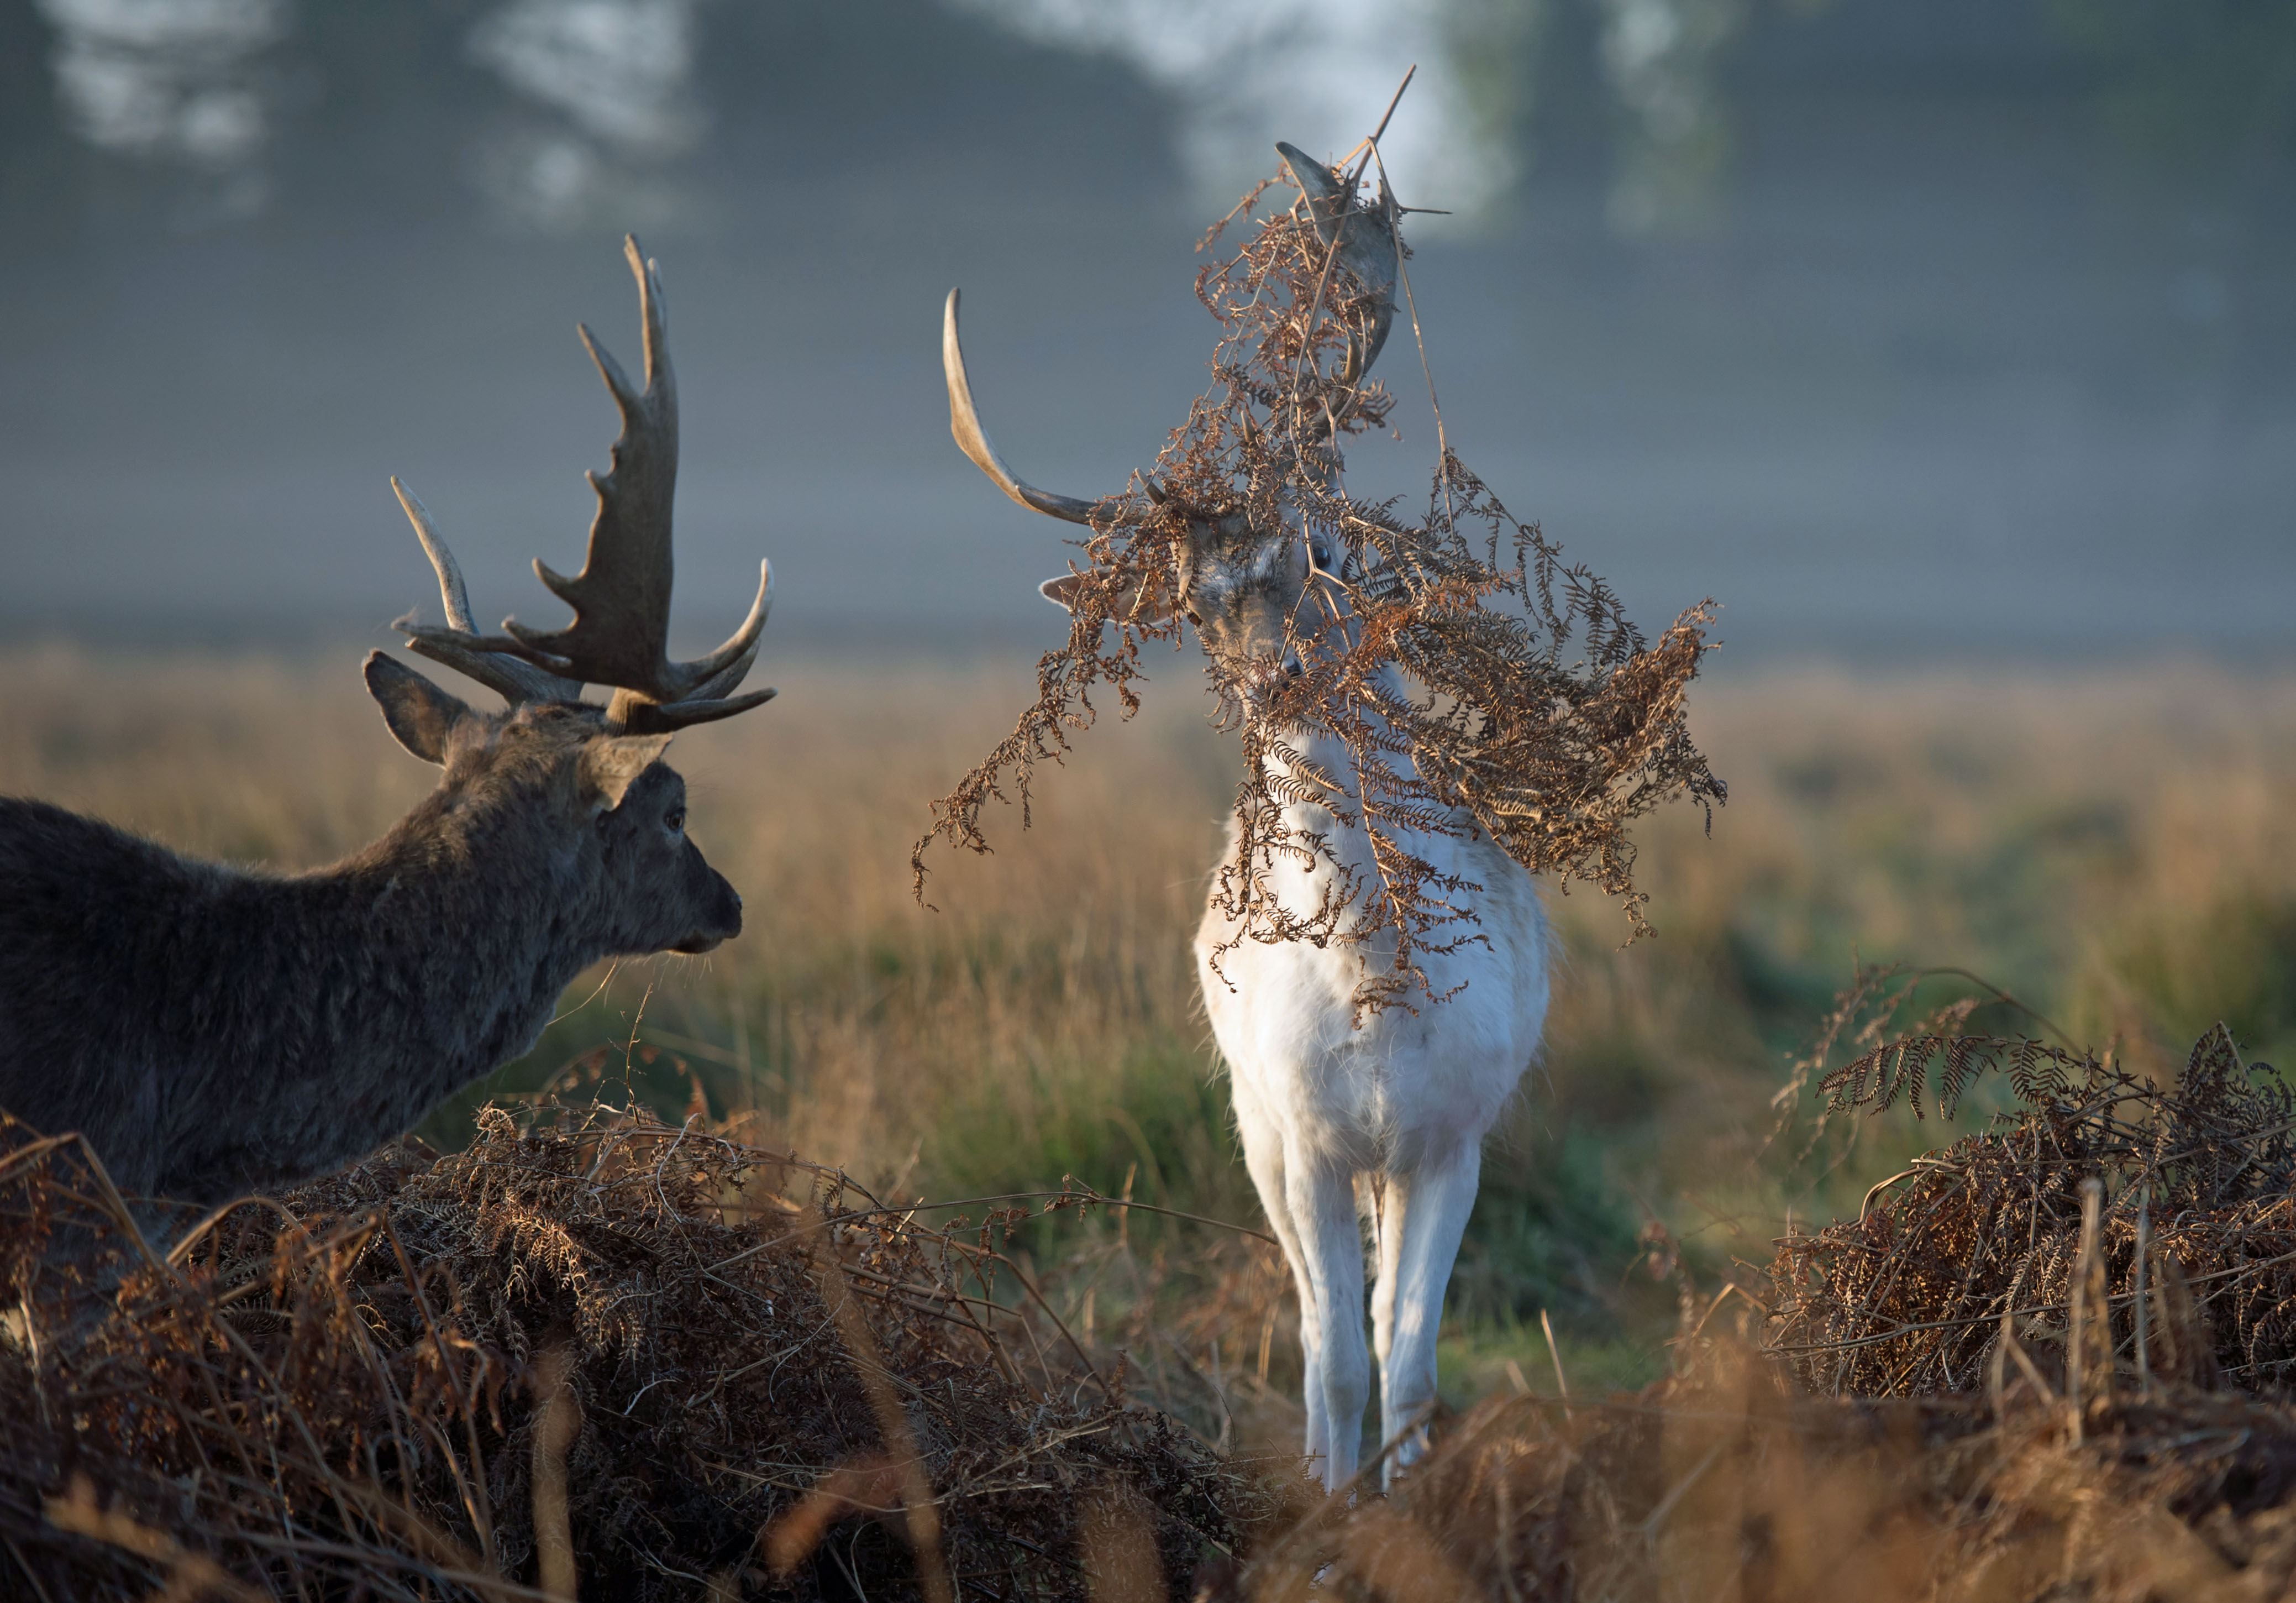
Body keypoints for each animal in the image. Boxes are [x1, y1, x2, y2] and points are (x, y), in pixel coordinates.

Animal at [939, 146, 1551, 1491]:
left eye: (1326, 548)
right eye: (1194, 602)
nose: (1282, 684)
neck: (1377, 986)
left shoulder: (1455, 1134)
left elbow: (1410, 1360)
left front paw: (1410, 1503)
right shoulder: (1301, 1133)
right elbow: (1335, 1357)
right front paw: (1331, 1510)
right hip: (1251, 1126)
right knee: (1320, 1328)